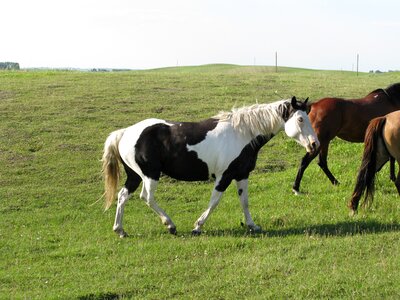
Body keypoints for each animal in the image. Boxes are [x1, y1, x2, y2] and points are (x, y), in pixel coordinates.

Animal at [101, 96, 318, 237]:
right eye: (300, 119)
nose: (315, 144)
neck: (242, 134)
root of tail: (125, 132)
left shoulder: (242, 175)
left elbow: (245, 202)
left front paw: (252, 225)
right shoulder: (224, 176)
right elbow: (214, 202)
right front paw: (198, 226)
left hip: (135, 175)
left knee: (123, 195)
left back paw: (120, 230)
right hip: (150, 175)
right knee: (146, 197)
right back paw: (170, 225)